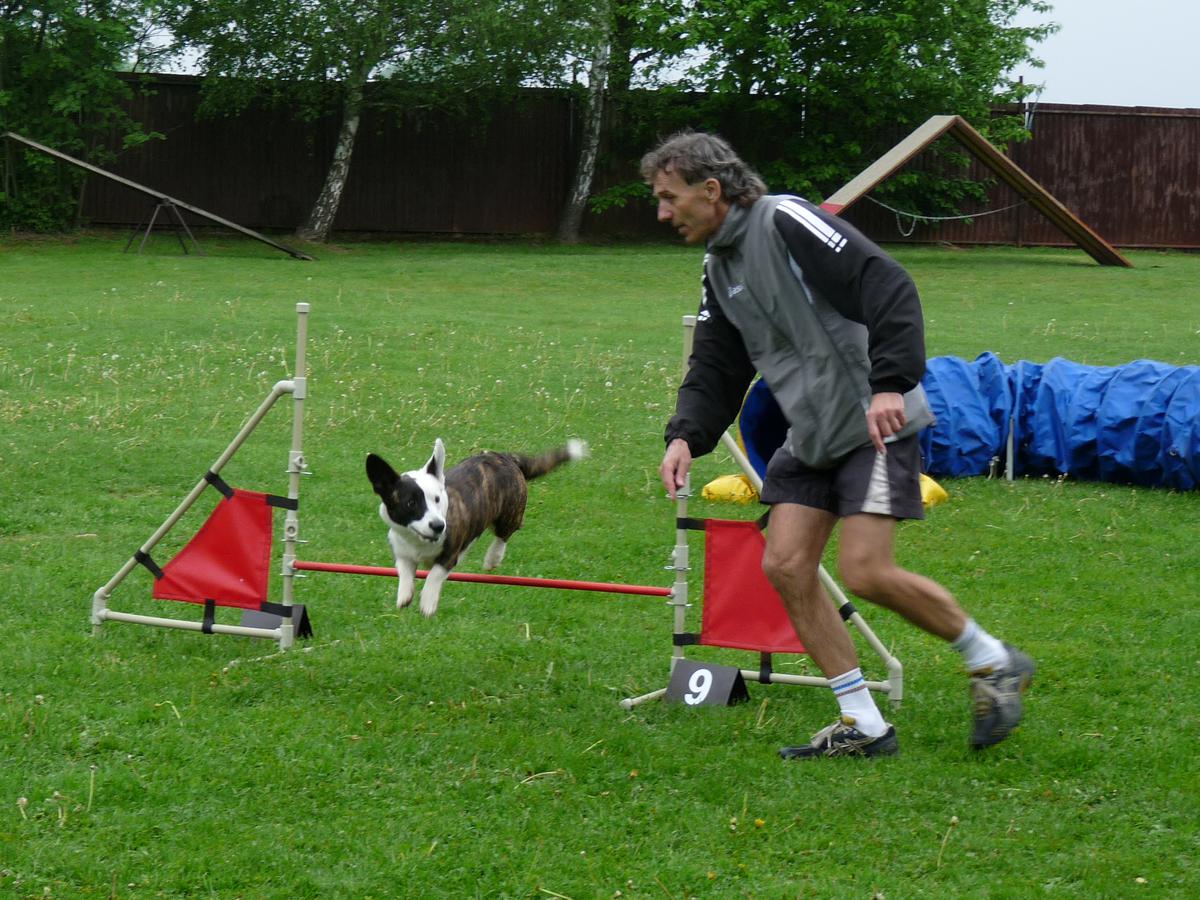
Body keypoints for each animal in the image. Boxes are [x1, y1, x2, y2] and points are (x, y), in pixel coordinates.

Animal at [367, 439, 588, 619]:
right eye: (410, 503)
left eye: (437, 499)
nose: (439, 526)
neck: (419, 541)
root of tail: (506, 457)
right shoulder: (402, 552)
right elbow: (404, 572)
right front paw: (404, 597)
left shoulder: (450, 555)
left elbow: (434, 575)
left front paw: (427, 604)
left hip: (509, 513)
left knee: (507, 532)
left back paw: (493, 558)